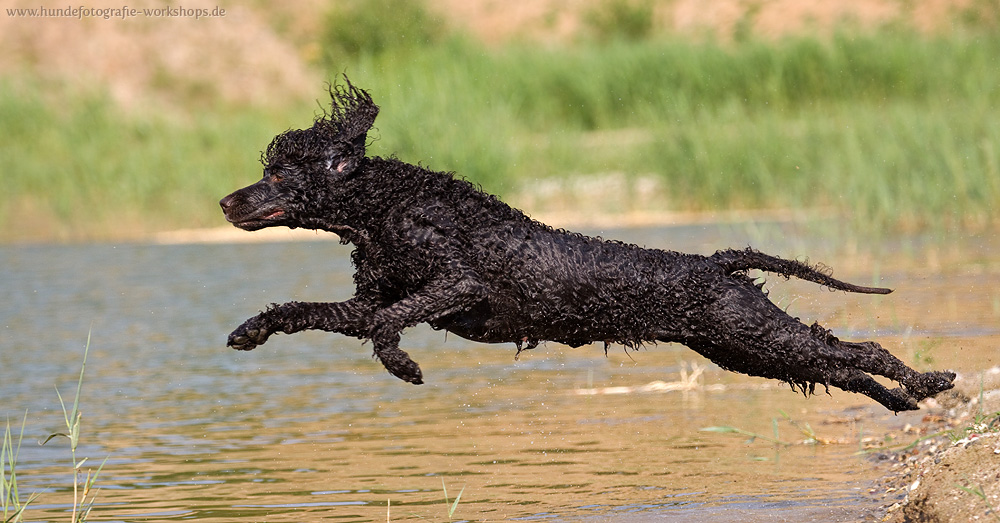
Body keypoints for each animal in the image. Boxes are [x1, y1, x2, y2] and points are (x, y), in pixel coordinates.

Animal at [223, 79, 956, 414]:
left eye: (279, 173)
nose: (227, 202)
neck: (386, 209)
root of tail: (716, 263)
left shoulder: (458, 286)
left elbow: (385, 326)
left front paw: (403, 365)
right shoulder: (362, 302)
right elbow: (308, 311)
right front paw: (250, 329)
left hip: (753, 332)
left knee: (857, 350)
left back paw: (928, 378)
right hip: (746, 350)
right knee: (839, 367)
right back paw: (902, 400)